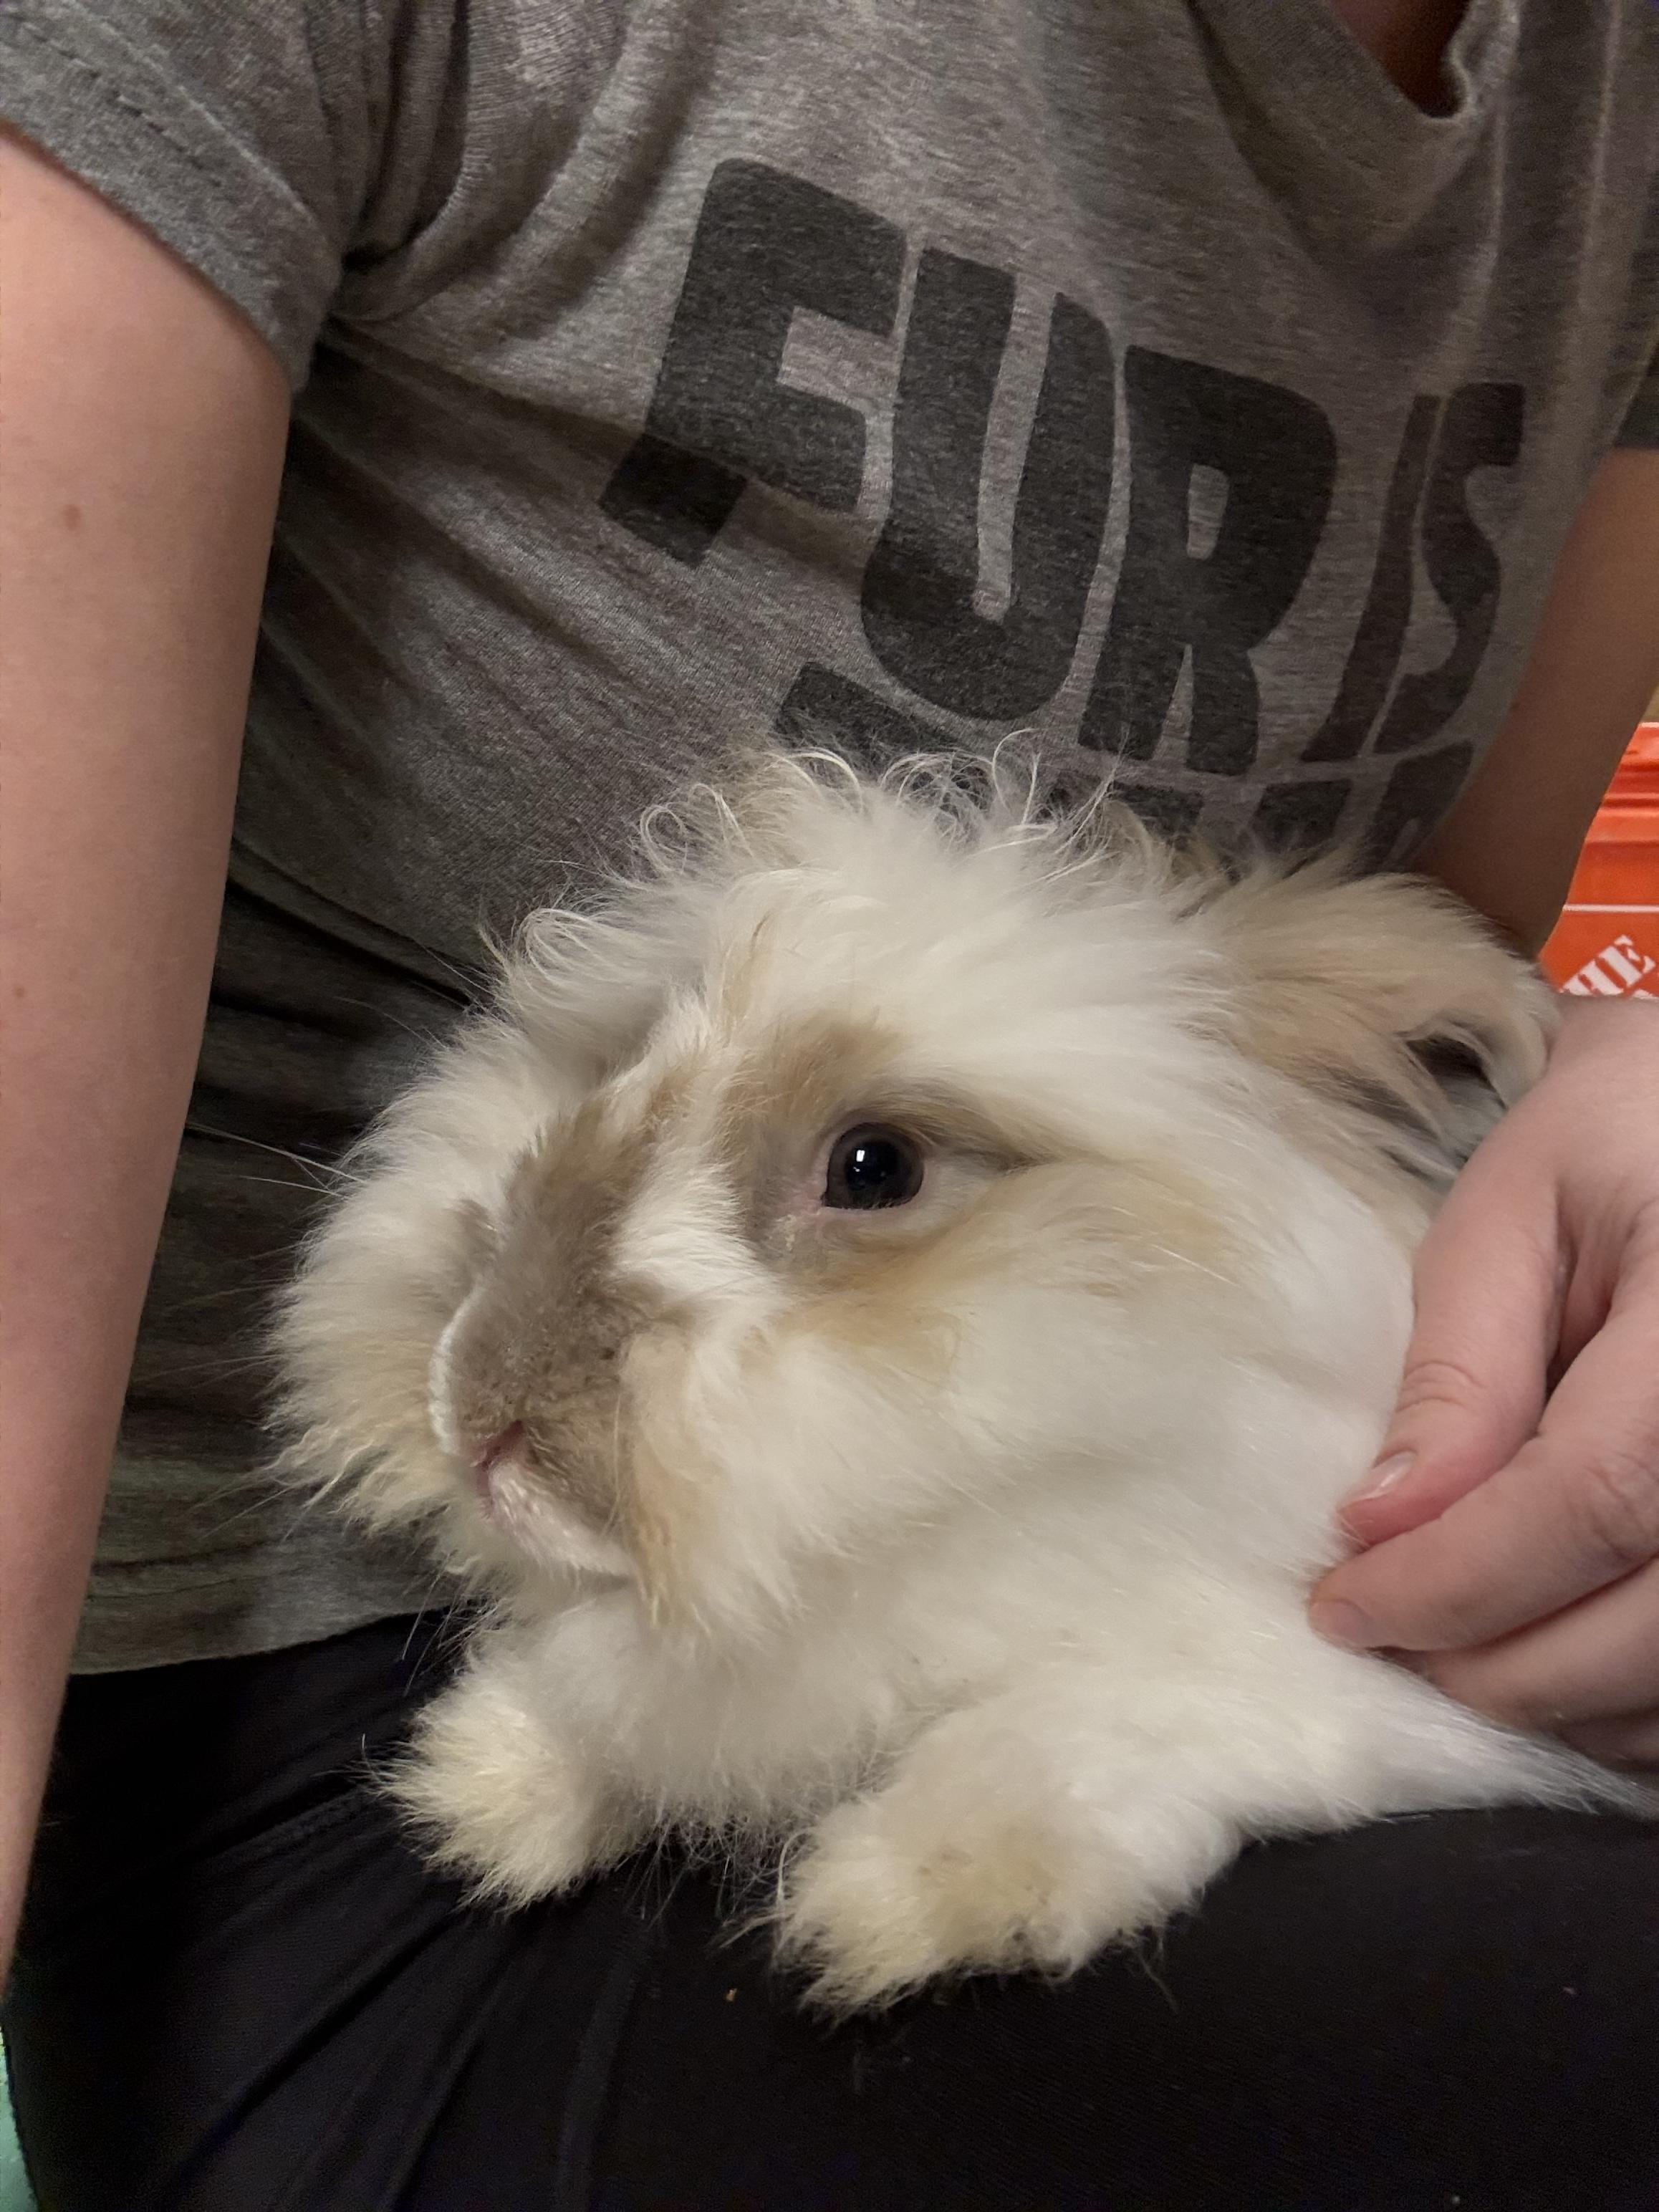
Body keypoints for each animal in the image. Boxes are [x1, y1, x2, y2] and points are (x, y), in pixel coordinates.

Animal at [272, 751, 1649, 2011]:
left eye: (875, 1167)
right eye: (612, 1073)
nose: (484, 1412)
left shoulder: (1361, 1670)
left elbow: (1097, 1720)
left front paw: (897, 1896)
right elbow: (607, 1692)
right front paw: (486, 1784)